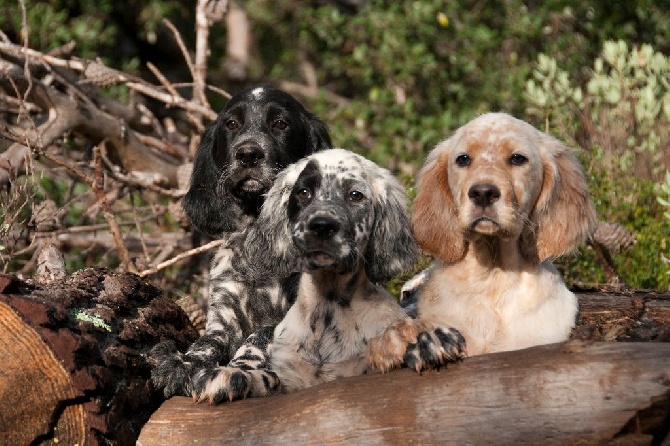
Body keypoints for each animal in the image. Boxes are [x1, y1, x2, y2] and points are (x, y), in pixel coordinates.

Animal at [150, 85, 334, 398]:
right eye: (232, 124)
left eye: (280, 124)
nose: (248, 154)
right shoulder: (224, 317)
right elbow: (205, 343)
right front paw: (181, 363)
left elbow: (261, 335)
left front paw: (238, 370)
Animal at [189, 147, 468, 400]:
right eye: (303, 192)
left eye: (355, 195)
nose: (321, 226)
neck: (327, 309)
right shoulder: (289, 377)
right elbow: (270, 379)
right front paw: (235, 376)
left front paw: (427, 345)